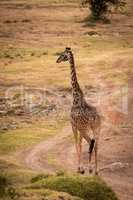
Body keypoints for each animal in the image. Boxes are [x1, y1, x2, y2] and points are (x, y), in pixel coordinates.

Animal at [55, 47, 101, 175]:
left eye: (63, 55)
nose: (57, 60)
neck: (76, 97)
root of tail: (95, 118)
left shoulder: (74, 125)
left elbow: (76, 144)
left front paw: (79, 168)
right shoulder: (79, 127)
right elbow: (80, 144)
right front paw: (82, 168)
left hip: (86, 129)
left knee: (90, 142)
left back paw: (90, 169)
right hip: (96, 129)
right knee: (96, 145)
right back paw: (96, 170)